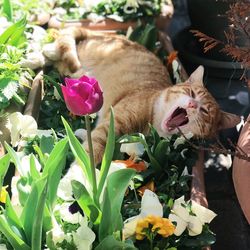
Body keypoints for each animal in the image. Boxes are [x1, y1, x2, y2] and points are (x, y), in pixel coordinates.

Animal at [43, 27, 240, 164]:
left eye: (205, 111)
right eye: (191, 93)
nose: (192, 104)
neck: (153, 119)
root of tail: (115, 36)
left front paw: (83, 134)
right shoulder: (111, 124)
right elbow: (90, 155)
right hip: (81, 60)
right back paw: (44, 52)